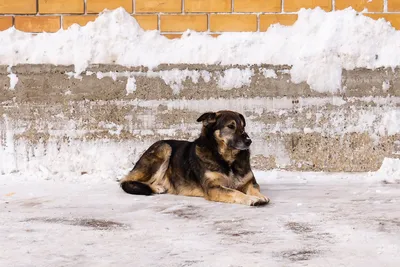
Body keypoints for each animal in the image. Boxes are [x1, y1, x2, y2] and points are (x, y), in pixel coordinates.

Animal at [119, 111, 268, 207]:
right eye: (231, 126)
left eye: (243, 126)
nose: (249, 141)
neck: (226, 159)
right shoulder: (213, 188)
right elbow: (235, 192)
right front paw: (251, 199)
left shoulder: (249, 182)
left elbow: (254, 189)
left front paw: (259, 196)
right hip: (164, 148)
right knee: (126, 181)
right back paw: (155, 188)